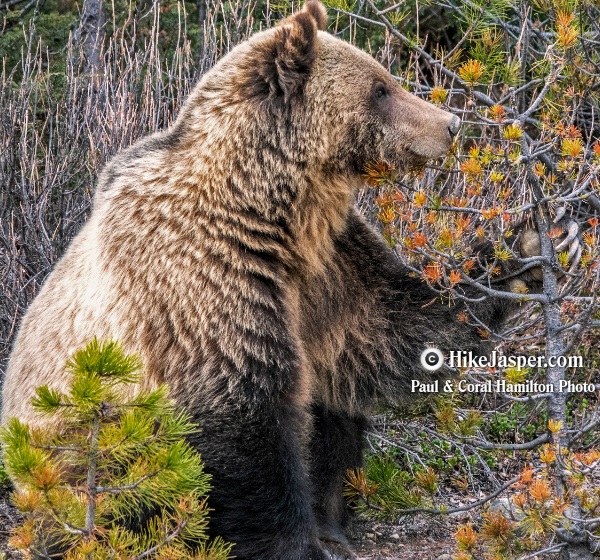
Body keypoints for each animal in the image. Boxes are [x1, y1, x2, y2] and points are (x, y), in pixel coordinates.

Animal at [3, 1, 524, 560]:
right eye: (380, 88)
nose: (451, 123)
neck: (272, 213)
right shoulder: (204, 281)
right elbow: (248, 424)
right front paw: (296, 542)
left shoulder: (328, 267)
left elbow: (395, 325)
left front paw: (526, 249)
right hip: (90, 450)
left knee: (334, 412)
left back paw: (335, 520)